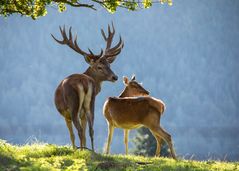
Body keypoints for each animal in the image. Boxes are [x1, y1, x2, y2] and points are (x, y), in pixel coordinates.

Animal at [52, 23, 123, 151]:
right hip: (90, 104)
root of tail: (83, 82)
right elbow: (86, 132)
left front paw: (75, 149)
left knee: (79, 130)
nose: (115, 77)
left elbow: (72, 135)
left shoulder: (66, 115)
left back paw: (81, 150)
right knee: (91, 129)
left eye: (109, 65)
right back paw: (92, 151)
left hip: (73, 106)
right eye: (100, 66)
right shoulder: (83, 115)